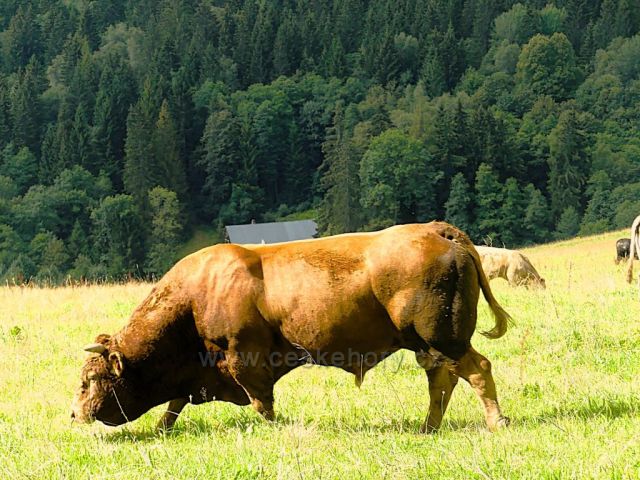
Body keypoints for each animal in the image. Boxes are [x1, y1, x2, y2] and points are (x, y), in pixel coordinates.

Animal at [70, 223, 510, 434]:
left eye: (88, 380)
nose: (74, 414)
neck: (195, 297)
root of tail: (436, 229)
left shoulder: (243, 359)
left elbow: (262, 403)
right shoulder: (200, 371)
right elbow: (174, 405)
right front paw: (162, 427)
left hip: (443, 338)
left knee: (476, 370)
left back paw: (495, 422)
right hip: (427, 344)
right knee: (442, 382)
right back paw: (427, 427)